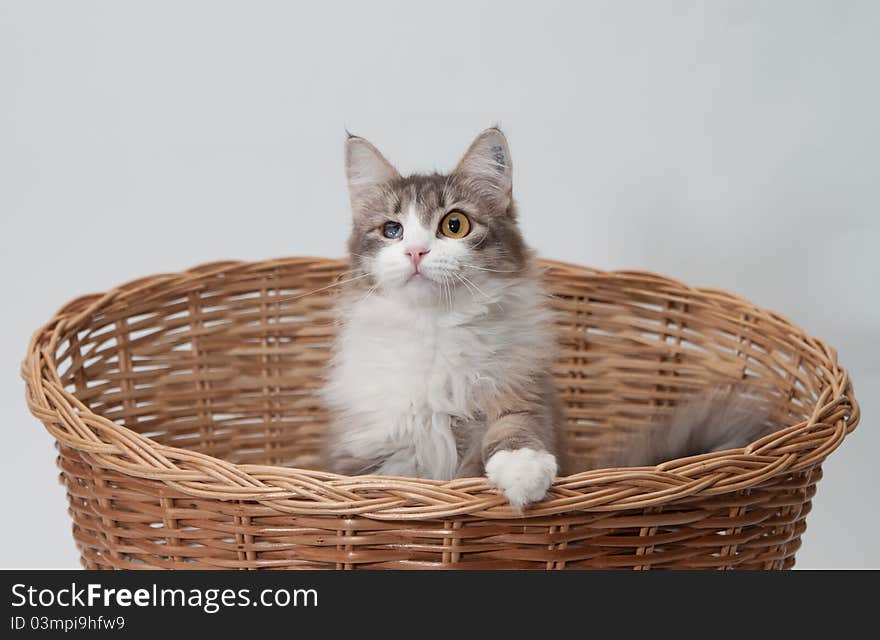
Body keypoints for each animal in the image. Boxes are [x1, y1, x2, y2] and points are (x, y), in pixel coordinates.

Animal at [320, 126, 772, 510]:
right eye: (392, 230)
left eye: (454, 225)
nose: (416, 252)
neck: (435, 330)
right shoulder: (368, 447)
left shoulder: (523, 391)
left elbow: (513, 430)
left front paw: (523, 472)